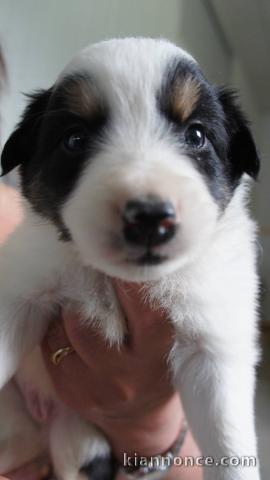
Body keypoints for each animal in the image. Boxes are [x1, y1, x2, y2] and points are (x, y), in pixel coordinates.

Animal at [0, 38, 262, 480]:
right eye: (74, 140)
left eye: (196, 135)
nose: (149, 218)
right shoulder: (22, 287)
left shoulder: (213, 346)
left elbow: (228, 442)